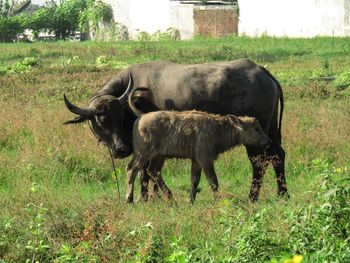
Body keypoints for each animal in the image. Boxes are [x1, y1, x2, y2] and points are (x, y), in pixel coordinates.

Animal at [64, 59, 288, 202]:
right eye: (102, 119)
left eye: (119, 116)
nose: (121, 150)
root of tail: (262, 72)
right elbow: (150, 171)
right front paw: (153, 196)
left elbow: (146, 171)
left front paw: (145, 197)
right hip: (270, 131)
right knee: (278, 155)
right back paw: (282, 193)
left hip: (255, 137)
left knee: (259, 162)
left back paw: (253, 197)